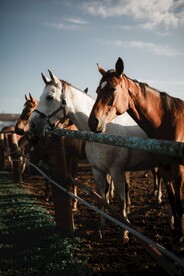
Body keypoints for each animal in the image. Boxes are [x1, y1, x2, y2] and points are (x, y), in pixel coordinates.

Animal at [29, 70, 161, 240]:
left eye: (49, 97)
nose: (32, 124)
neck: (102, 133)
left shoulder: (116, 171)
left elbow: (121, 200)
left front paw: (124, 233)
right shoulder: (97, 171)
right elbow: (102, 198)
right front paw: (100, 229)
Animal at [88, 57, 183, 246]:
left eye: (113, 89)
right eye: (97, 90)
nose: (93, 122)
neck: (168, 122)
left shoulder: (180, 171)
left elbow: (180, 203)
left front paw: (180, 238)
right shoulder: (164, 169)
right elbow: (173, 201)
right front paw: (176, 234)